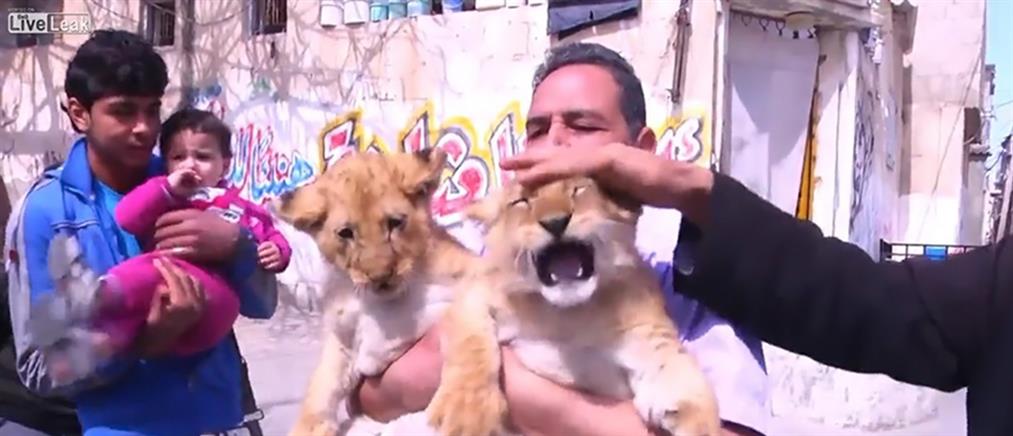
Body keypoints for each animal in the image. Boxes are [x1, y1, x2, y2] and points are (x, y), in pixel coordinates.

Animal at [277, 148, 477, 436]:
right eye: (346, 233)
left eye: (395, 223)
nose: (380, 276)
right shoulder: (342, 337)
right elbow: (323, 382)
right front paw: (308, 427)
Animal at [426, 177, 721, 436]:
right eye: (521, 202)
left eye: (578, 189)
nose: (555, 222)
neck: (568, 315)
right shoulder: (472, 295)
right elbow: (471, 346)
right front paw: (468, 413)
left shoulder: (649, 337)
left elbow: (680, 377)